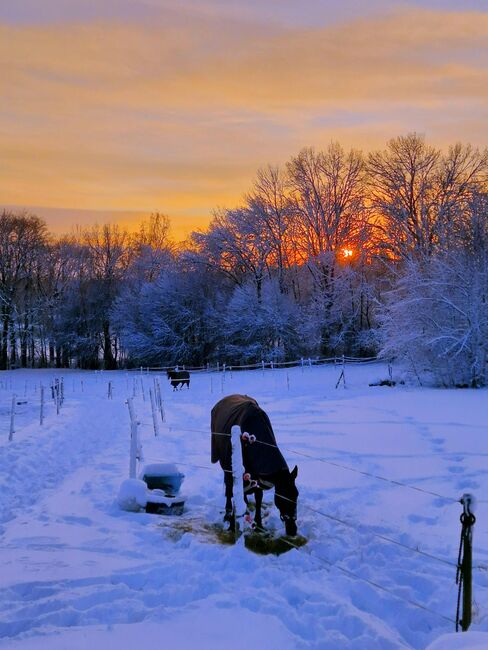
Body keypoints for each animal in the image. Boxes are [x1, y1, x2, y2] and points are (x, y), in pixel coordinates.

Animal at [210, 392, 298, 536]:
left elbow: (258, 498)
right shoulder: (233, 471)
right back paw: (228, 512)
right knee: (228, 489)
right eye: (282, 497)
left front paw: (259, 524)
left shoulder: (257, 476)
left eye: (296, 494)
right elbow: (232, 492)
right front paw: (231, 524)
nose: (292, 530)